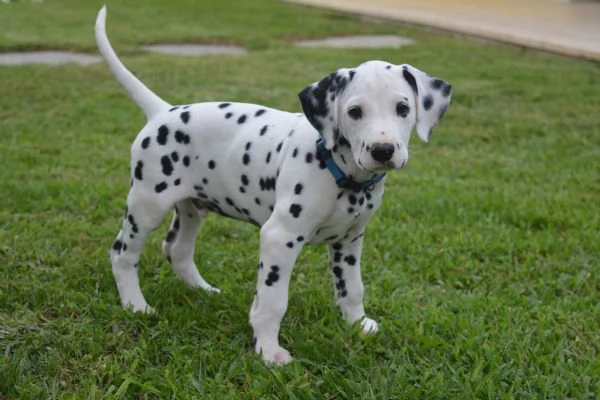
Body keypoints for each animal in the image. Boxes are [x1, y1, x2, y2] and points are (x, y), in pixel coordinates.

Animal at [95, 4, 450, 364]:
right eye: (354, 111)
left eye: (403, 108)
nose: (383, 150)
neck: (340, 173)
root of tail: (162, 112)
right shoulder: (280, 238)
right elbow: (272, 302)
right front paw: (268, 350)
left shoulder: (350, 240)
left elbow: (351, 288)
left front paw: (358, 324)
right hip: (147, 205)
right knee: (123, 254)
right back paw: (136, 305)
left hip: (192, 208)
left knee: (177, 250)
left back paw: (204, 291)